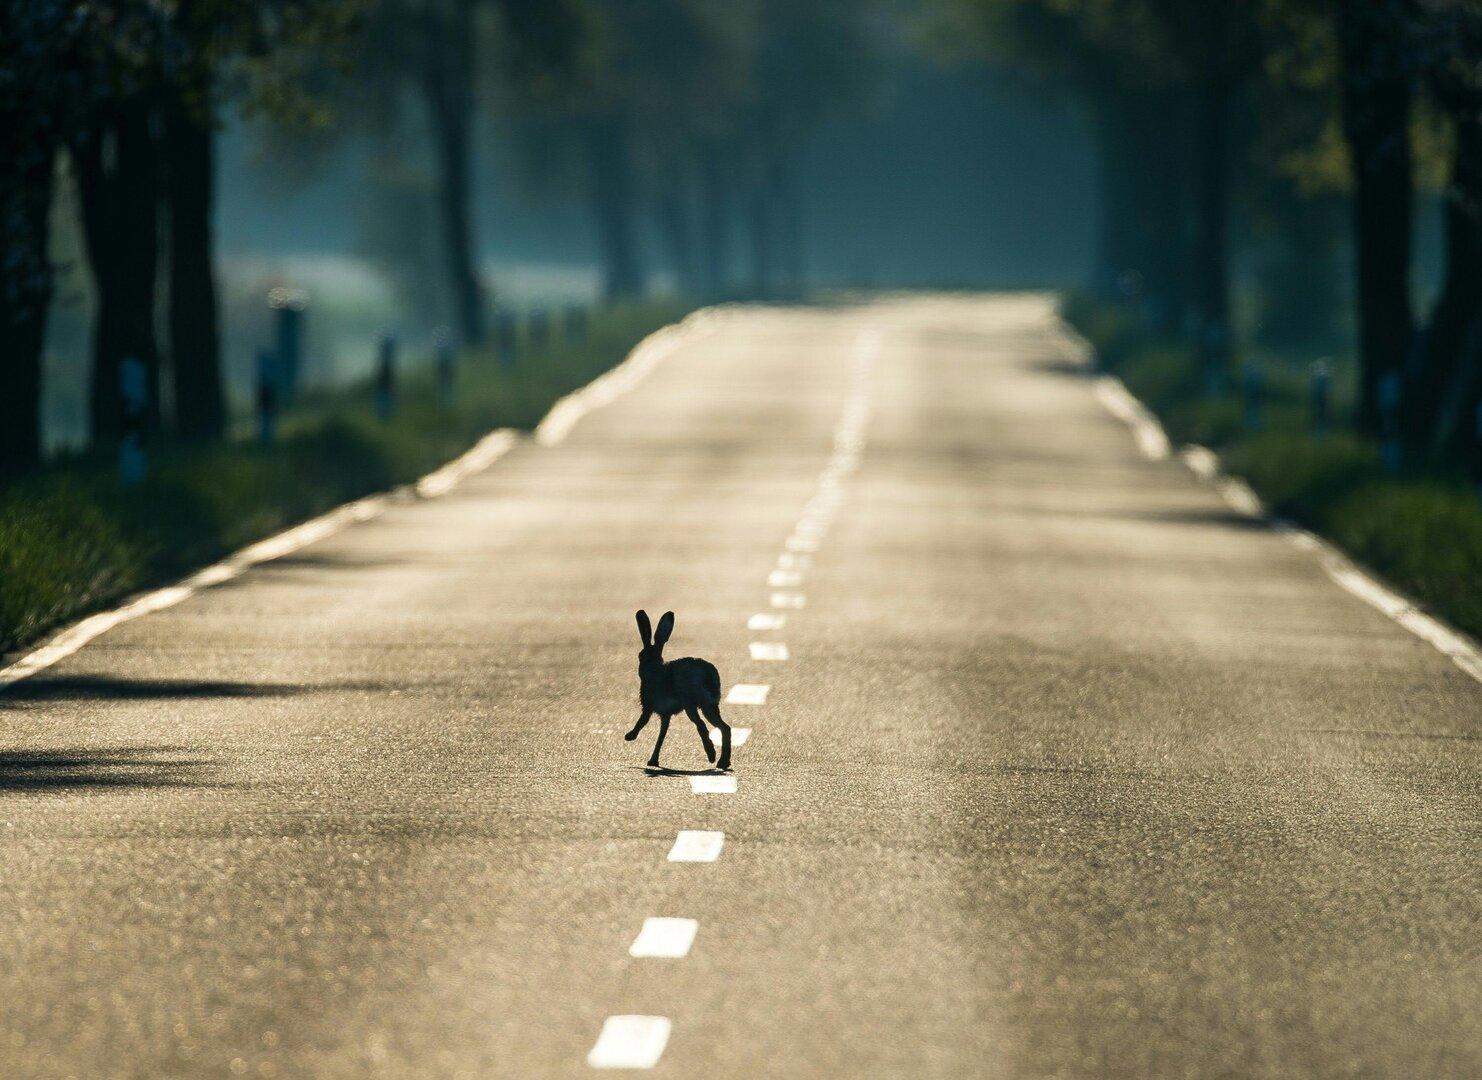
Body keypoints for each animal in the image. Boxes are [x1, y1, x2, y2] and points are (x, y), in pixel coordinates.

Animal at [625, 610, 733, 771]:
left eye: (640, 655)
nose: (640, 665)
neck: (654, 668)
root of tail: (707, 674)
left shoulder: (649, 706)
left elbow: (642, 722)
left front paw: (630, 736)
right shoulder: (665, 715)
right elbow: (662, 735)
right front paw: (653, 761)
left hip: (690, 703)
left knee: (701, 725)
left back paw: (712, 756)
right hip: (709, 705)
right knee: (724, 727)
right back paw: (723, 762)